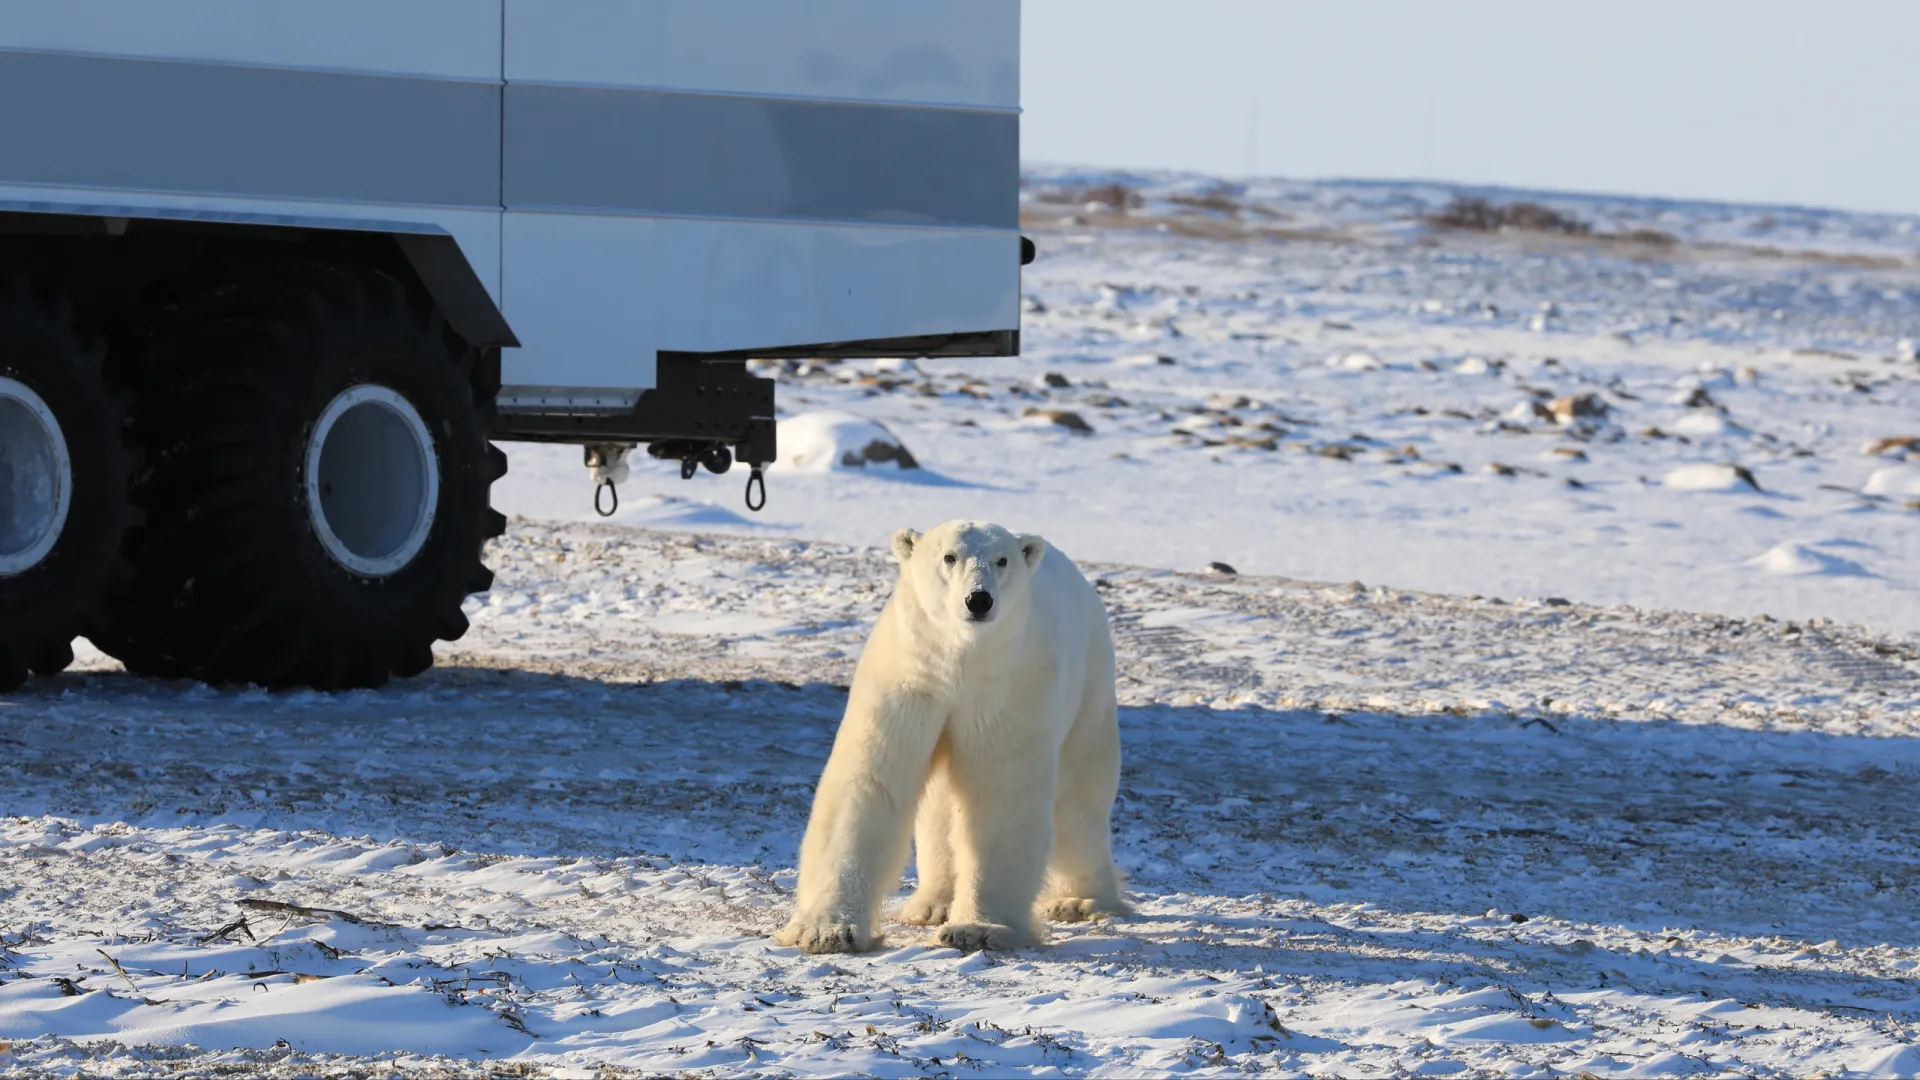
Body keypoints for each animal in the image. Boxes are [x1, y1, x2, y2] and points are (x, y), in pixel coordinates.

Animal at [775, 522, 1128, 949]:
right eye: (949, 557)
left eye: (1001, 559)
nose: (979, 600)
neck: (959, 659)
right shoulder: (911, 679)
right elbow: (872, 781)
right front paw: (827, 930)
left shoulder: (1006, 691)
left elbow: (997, 795)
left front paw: (978, 928)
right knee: (941, 804)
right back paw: (933, 904)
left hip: (1089, 686)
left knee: (1078, 797)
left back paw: (1079, 901)